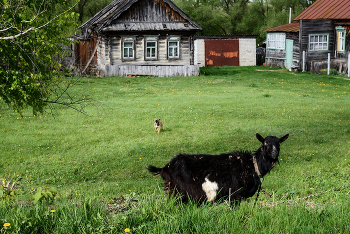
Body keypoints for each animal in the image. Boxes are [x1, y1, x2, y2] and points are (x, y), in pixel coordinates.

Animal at [147, 133, 288, 203]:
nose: (274, 153)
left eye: (279, 143)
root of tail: (165, 168)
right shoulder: (235, 196)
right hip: (177, 194)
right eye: (265, 143)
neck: (252, 166)